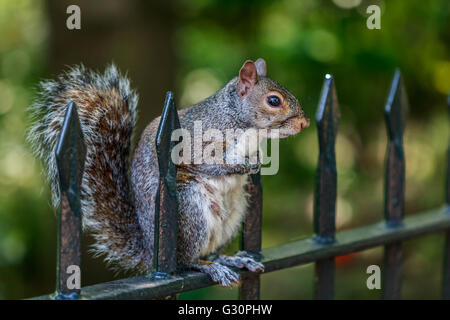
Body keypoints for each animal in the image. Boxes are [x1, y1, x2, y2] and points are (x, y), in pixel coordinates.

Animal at [27, 58, 310, 286]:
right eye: (273, 100)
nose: (304, 123)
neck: (243, 124)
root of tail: (150, 249)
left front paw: (257, 162)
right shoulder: (198, 144)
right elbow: (211, 164)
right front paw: (245, 165)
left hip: (233, 213)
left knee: (207, 251)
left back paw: (232, 260)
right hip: (191, 208)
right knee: (185, 261)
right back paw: (211, 267)